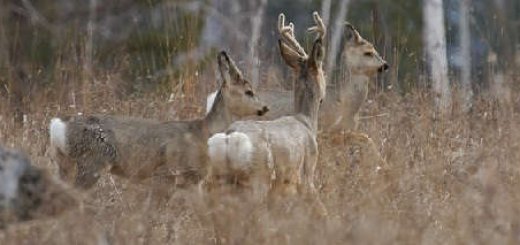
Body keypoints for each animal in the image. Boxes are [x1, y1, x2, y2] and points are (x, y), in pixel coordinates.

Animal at [49, 51, 270, 189]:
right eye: (249, 91)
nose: (265, 107)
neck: (204, 133)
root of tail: (58, 125)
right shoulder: (169, 174)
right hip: (92, 160)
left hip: (65, 162)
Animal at [205, 12, 328, 217]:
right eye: (323, 71)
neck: (306, 120)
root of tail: (229, 139)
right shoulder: (307, 173)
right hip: (258, 180)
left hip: (217, 180)